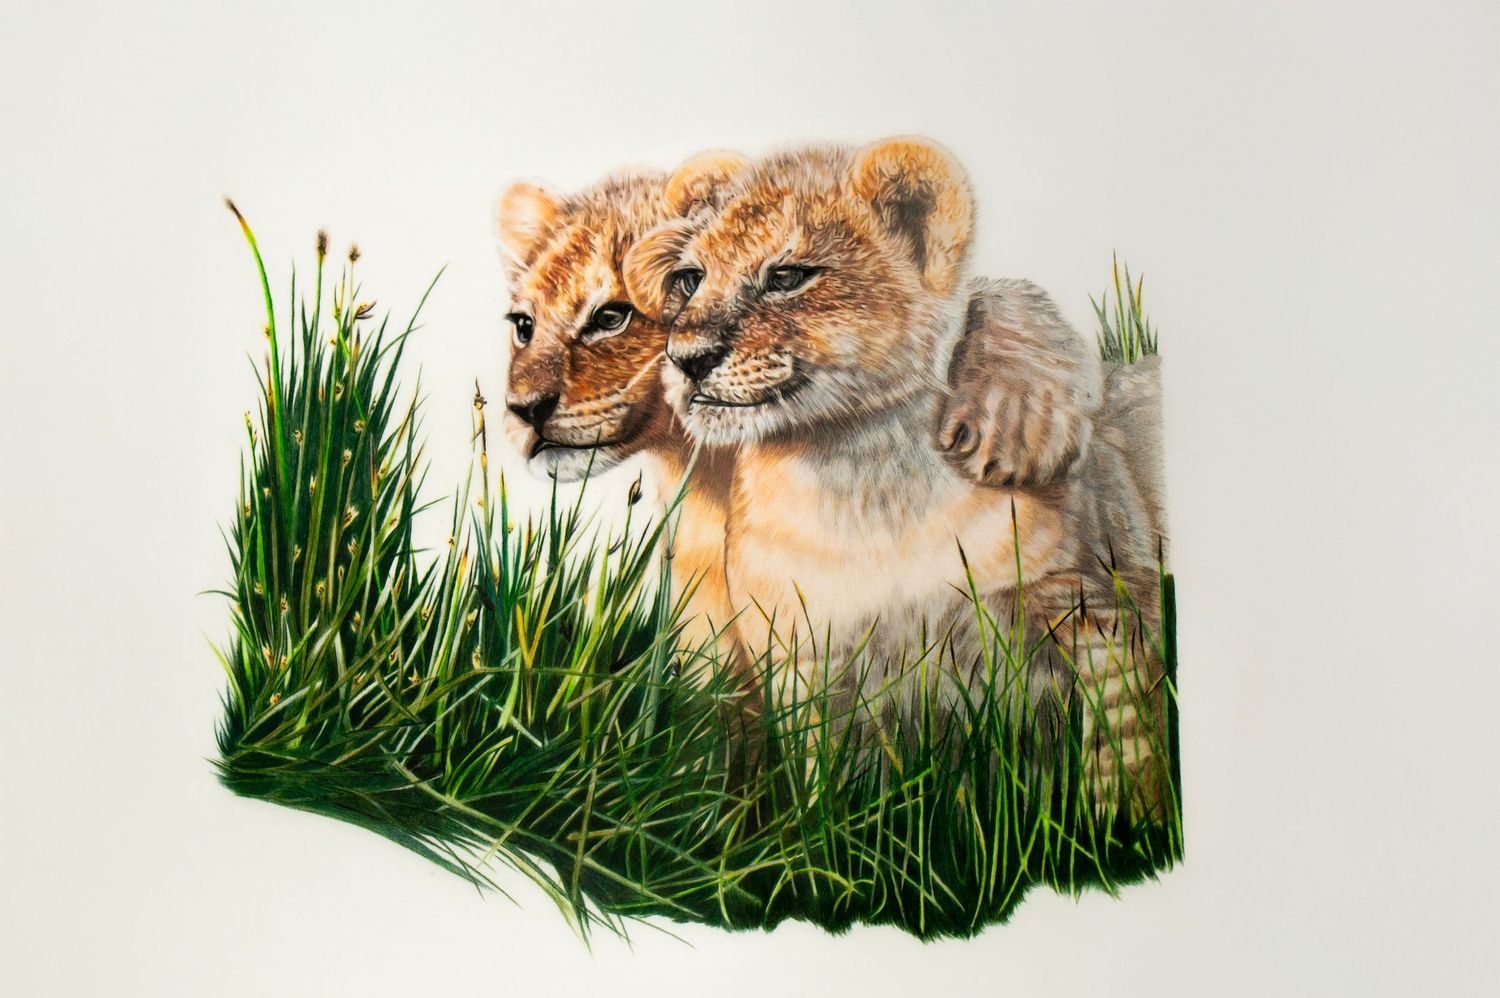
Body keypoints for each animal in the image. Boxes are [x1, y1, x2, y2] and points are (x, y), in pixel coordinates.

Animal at [623, 137, 1168, 816]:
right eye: (691, 278)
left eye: (787, 277)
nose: (687, 359)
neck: (856, 483)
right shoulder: (809, 661)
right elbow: (830, 794)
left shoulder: (1083, 604)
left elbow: (1116, 746)